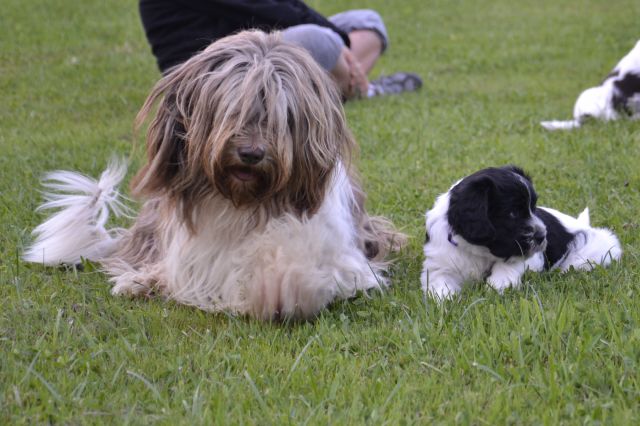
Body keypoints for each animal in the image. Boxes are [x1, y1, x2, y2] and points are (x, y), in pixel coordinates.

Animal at [26, 30, 404, 320]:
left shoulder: (349, 264)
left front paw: (280, 290)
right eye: (231, 108)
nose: (251, 154)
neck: (247, 205)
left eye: (281, 115)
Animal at [418, 166, 624, 300]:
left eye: (533, 208)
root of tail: (582, 224)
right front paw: (446, 299)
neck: (478, 250)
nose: (542, 237)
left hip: (594, 253)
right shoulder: (439, 264)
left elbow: (507, 268)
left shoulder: (524, 255)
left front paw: (497, 287)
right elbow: (440, 283)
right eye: (513, 213)